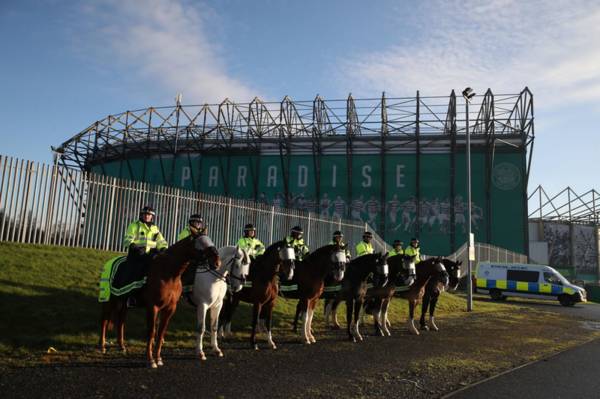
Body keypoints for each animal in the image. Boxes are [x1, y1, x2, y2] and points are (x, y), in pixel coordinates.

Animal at [98, 228, 220, 368]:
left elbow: (160, 333)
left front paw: (158, 358)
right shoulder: (153, 307)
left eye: (210, 241)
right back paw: (102, 346)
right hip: (109, 299)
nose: (217, 262)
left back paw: (121, 346)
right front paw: (150, 360)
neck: (168, 274)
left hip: (123, 302)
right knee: (104, 320)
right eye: (200, 245)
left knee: (121, 320)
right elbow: (151, 332)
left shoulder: (169, 308)